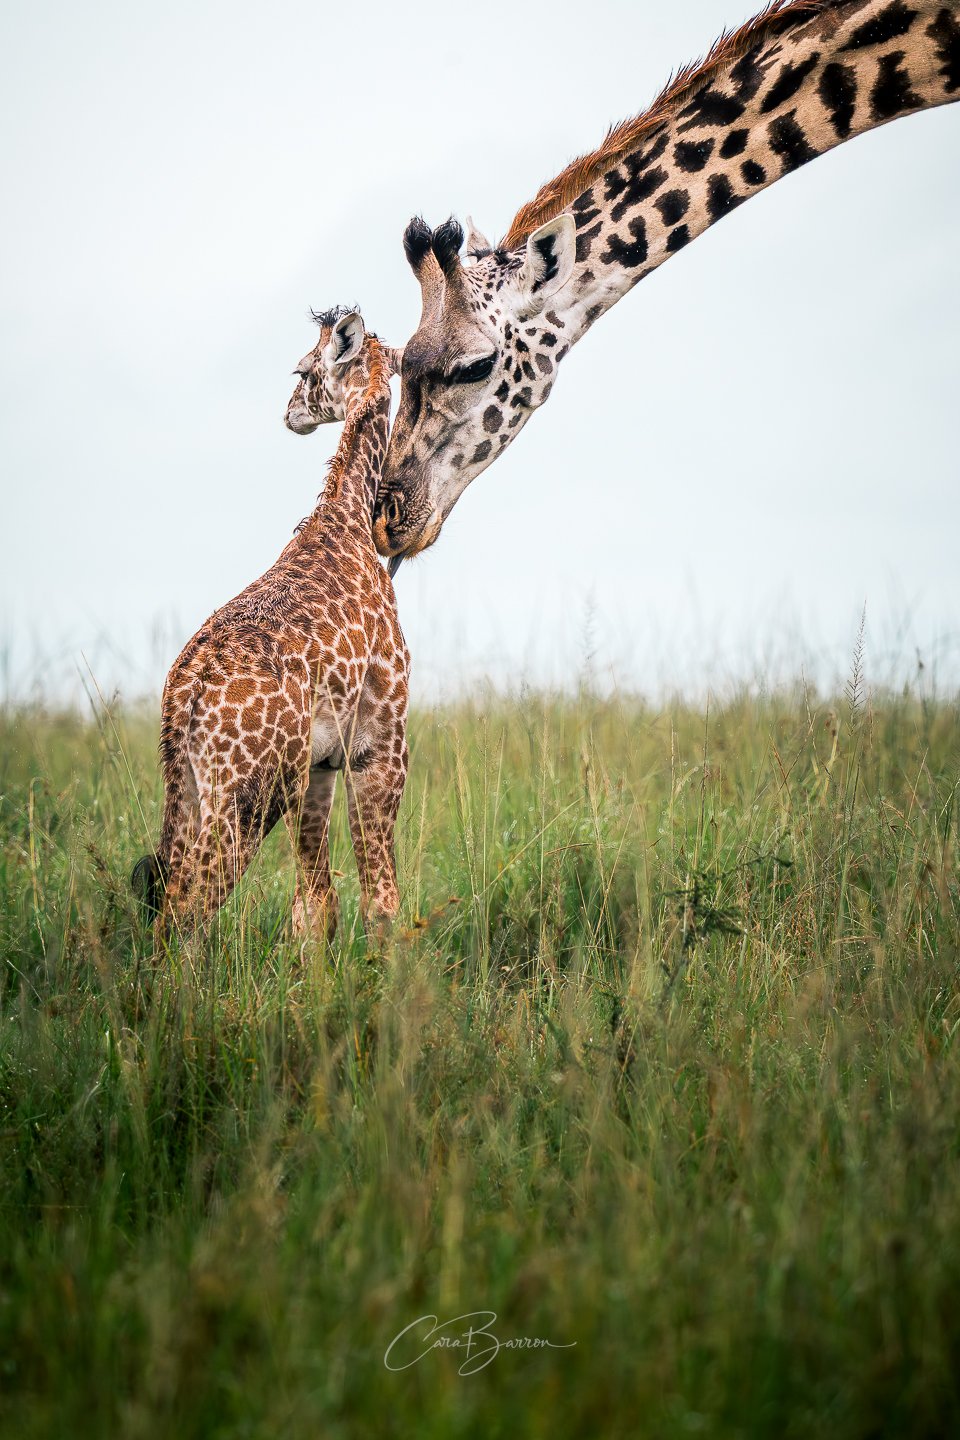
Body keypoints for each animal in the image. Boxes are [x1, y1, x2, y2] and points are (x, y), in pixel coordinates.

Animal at [133, 309, 410, 943]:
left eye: (302, 371)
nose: (290, 412)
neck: (347, 520)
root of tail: (183, 691)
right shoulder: (382, 740)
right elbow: (381, 902)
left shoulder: (321, 763)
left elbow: (315, 906)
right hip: (251, 789)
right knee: (187, 906)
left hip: (190, 785)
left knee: (167, 896)